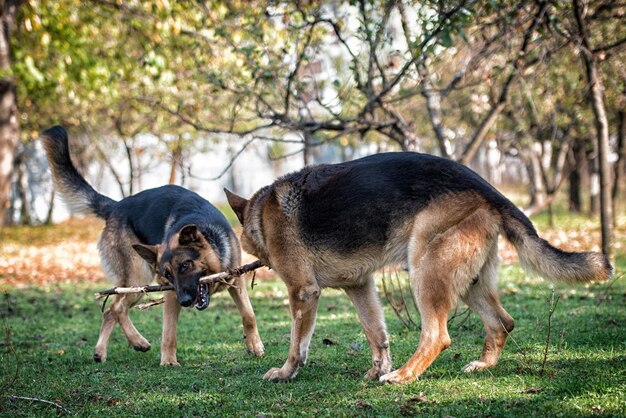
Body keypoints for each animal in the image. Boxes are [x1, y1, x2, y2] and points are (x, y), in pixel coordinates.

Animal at [40, 126, 262, 366]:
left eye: (185, 266)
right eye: (168, 274)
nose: (185, 301)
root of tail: (116, 206)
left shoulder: (236, 280)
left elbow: (249, 315)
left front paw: (255, 346)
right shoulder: (171, 294)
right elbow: (169, 332)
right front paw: (168, 361)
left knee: (110, 311)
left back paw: (101, 351)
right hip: (139, 278)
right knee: (117, 308)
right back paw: (138, 341)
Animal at [225, 152, 608, 384]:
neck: (262, 211)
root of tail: (486, 188)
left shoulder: (303, 292)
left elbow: (297, 344)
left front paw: (286, 371)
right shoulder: (359, 286)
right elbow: (376, 333)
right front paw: (377, 368)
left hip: (425, 269)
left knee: (438, 335)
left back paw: (404, 375)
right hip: (468, 281)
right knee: (503, 322)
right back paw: (481, 365)